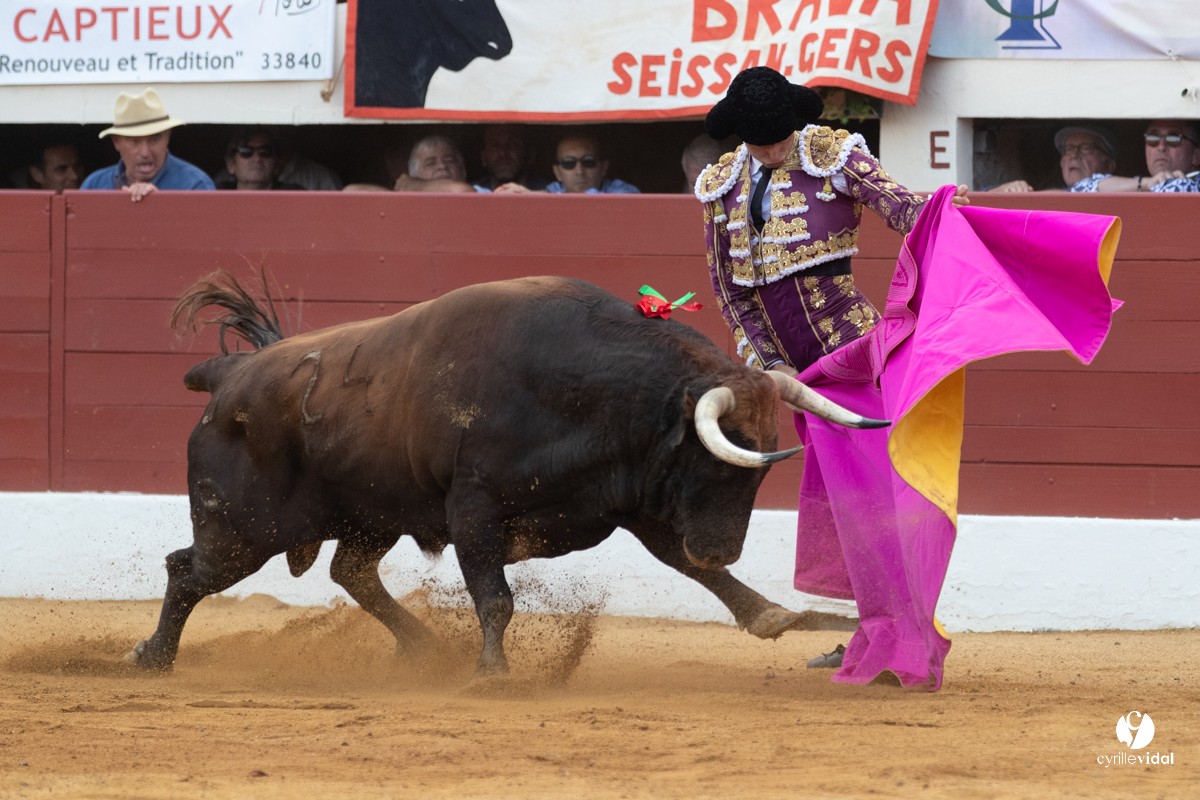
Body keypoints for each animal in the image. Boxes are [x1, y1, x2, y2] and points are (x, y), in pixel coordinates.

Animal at [126, 273, 884, 675]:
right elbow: (495, 596)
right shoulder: (475, 511)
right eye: (714, 457)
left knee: (351, 572)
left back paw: (426, 648)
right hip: (242, 528)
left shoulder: (632, 502)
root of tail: (231, 373)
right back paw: (152, 656)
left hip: (368, 513)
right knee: (187, 570)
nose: (722, 545)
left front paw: (775, 614)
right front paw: (493, 671)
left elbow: (686, 565)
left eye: (757, 468)